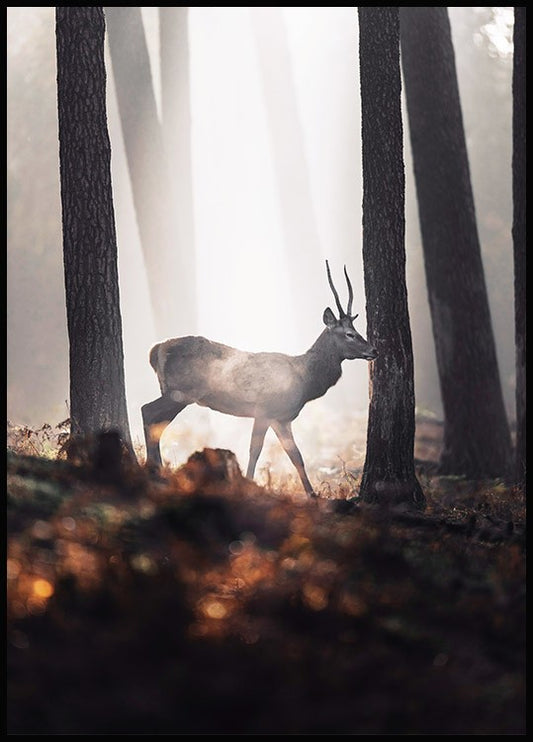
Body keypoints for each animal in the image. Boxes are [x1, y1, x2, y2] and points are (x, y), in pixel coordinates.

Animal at [141, 261, 377, 497]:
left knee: (156, 422)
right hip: (181, 391)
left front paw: (312, 494)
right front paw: (248, 484)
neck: (304, 380)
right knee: (147, 411)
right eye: (349, 334)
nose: (373, 350)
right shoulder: (265, 409)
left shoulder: (281, 418)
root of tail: (155, 350)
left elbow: (296, 456)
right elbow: (255, 449)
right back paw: (153, 470)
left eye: (356, 330)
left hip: (177, 393)